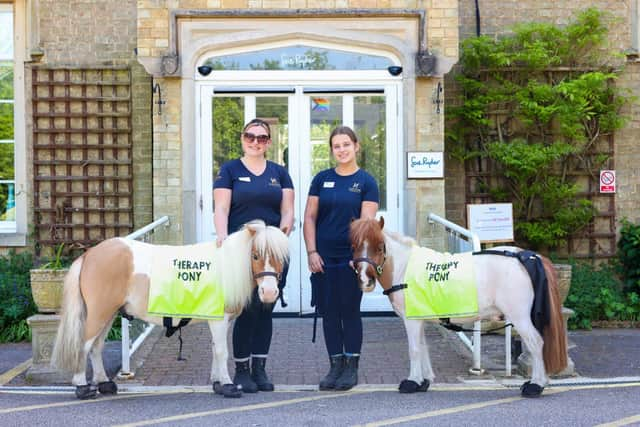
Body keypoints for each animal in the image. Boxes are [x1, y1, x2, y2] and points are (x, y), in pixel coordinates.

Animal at [52, 221, 288, 402]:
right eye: (255, 255)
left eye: (281, 257)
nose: (269, 293)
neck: (225, 268)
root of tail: (90, 255)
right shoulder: (219, 320)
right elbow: (222, 351)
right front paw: (228, 386)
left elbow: (215, 349)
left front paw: (217, 383)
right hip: (100, 312)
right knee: (84, 345)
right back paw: (82, 387)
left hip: (109, 314)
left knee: (96, 347)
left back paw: (104, 384)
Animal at [352, 219, 568, 400]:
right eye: (355, 246)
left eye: (380, 246)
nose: (365, 280)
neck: (404, 268)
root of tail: (527, 256)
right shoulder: (419, 318)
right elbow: (423, 347)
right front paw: (424, 381)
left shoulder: (411, 320)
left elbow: (414, 349)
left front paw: (412, 382)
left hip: (519, 317)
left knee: (535, 342)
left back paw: (536, 385)